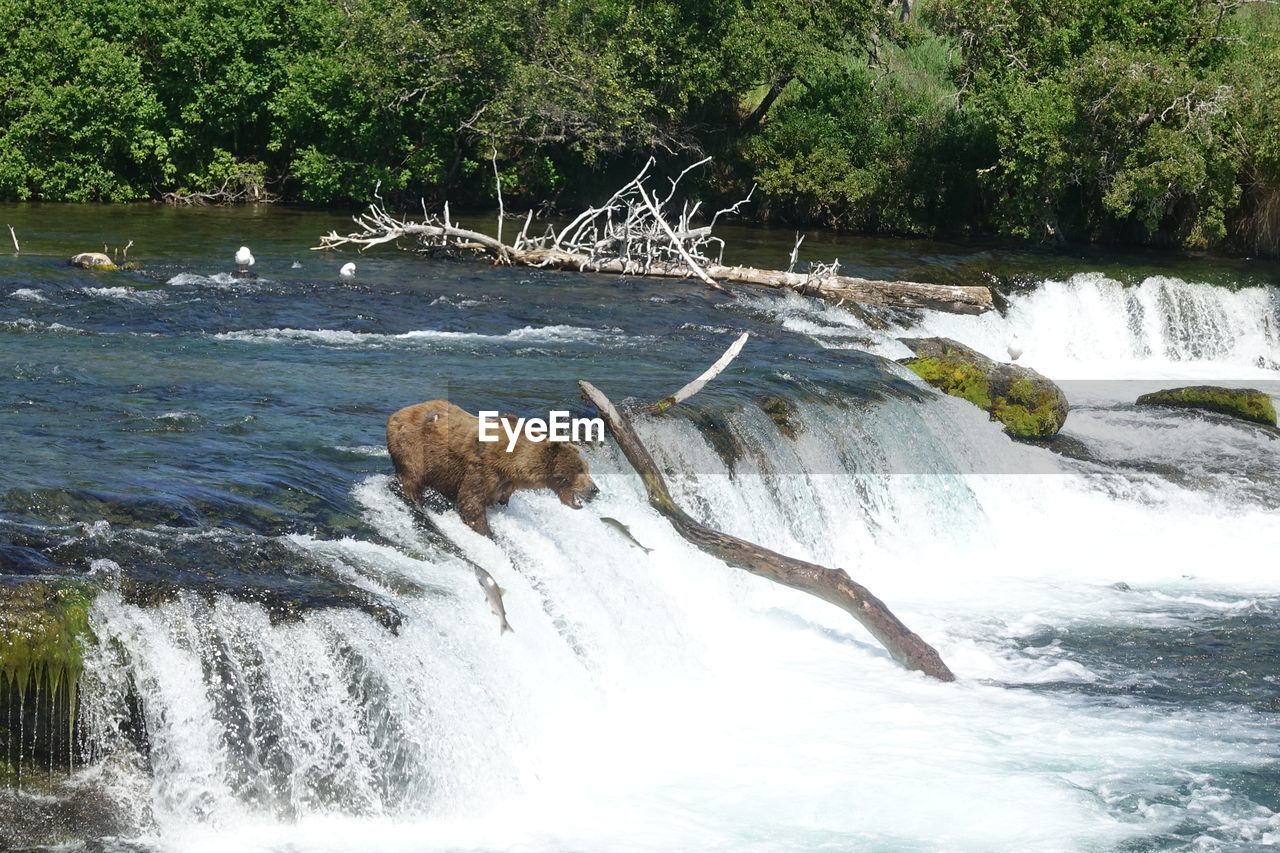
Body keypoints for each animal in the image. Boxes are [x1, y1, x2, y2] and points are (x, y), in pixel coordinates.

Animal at [384, 397, 599, 532]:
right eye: (579, 469)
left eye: (587, 468)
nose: (595, 489)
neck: (513, 465)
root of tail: (396, 413)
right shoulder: (484, 469)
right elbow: (470, 503)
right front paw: (485, 531)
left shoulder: (504, 484)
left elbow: (498, 499)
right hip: (413, 446)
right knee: (412, 476)